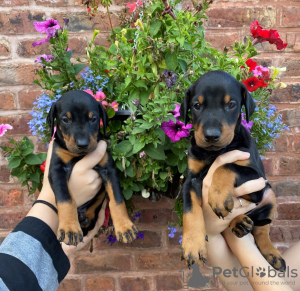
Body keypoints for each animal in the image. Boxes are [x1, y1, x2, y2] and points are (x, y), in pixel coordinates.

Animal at [47, 90, 138, 246]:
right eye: (65, 119)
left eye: (93, 119)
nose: (82, 144)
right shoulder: (56, 169)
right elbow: (65, 197)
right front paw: (70, 227)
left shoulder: (108, 169)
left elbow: (117, 199)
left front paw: (125, 226)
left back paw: (84, 220)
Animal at [180, 70, 286, 272]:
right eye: (196, 105)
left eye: (231, 104)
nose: (211, 136)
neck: (215, 152)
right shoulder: (191, 180)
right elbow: (190, 209)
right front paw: (192, 245)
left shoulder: (256, 178)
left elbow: (226, 166)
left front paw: (218, 195)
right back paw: (239, 222)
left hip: (269, 195)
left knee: (262, 229)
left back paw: (272, 254)